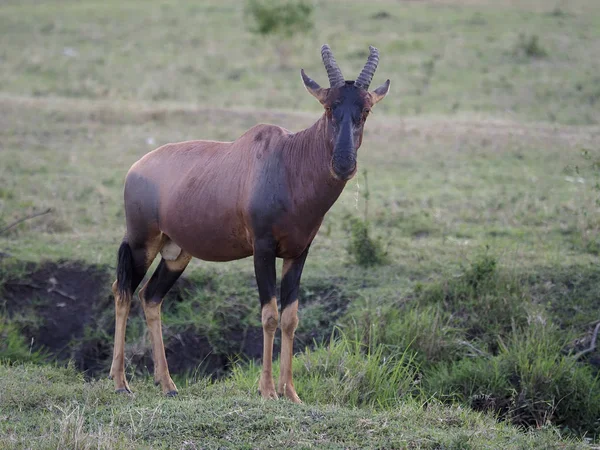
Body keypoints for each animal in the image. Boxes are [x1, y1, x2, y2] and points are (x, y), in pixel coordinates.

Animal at [109, 44, 390, 402]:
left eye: (365, 110)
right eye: (329, 107)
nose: (343, 164)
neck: (288, 160)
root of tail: (137, 167)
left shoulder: (298, 253)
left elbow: (290, 317)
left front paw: (291, 393)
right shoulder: (263, 249)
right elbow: (269, 314)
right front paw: (268, 391)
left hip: (176, 253)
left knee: (150, 297)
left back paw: (168, 385)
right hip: (142, 242)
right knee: (123, 291)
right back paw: (120, 382)